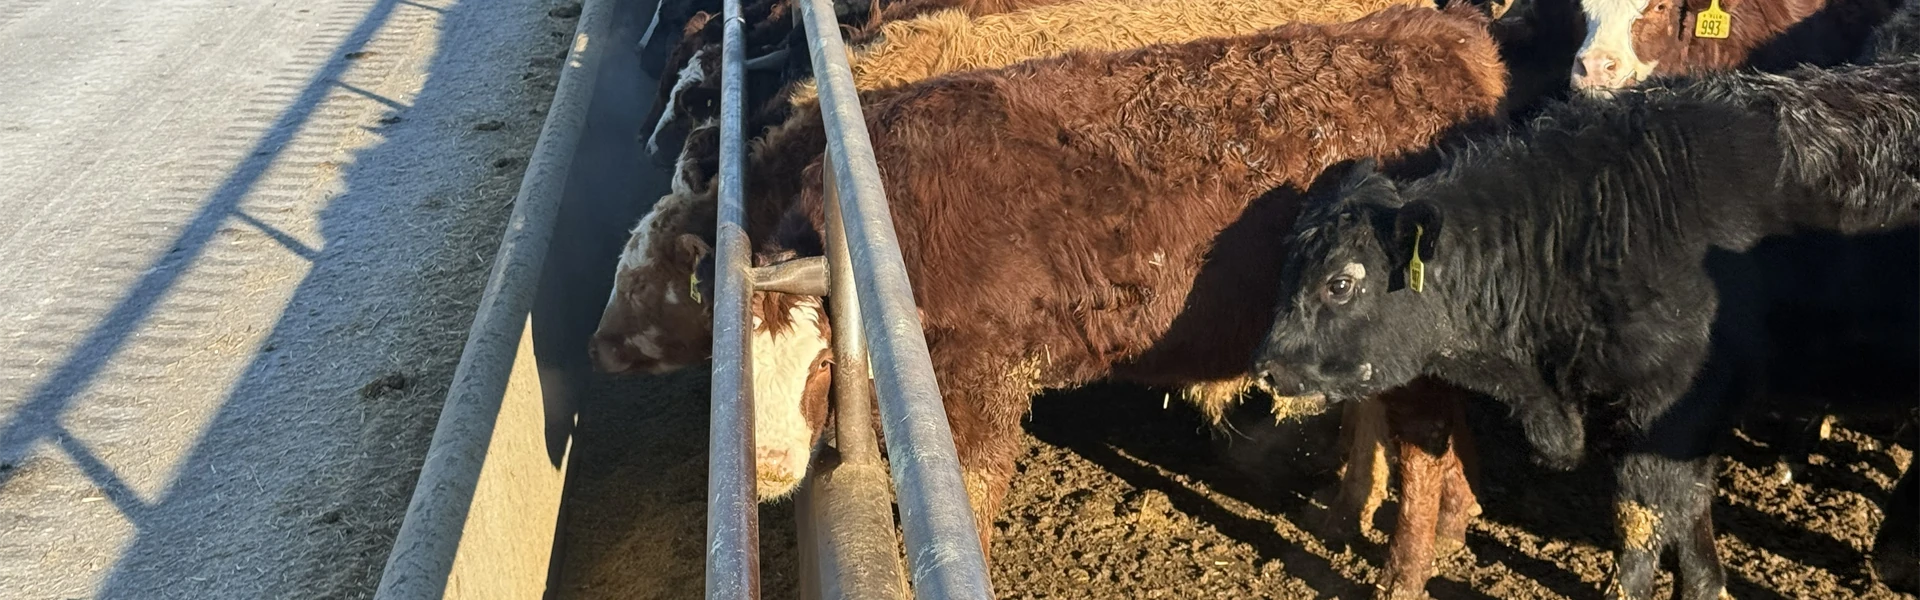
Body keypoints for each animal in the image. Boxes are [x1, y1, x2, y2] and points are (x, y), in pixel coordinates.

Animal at [1250, 57, 1920, 599]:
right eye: (1285, 272)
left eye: (1340, 283)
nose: (1268, 367)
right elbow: (1677, 506)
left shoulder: (1676, 403)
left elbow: (1650, 508)